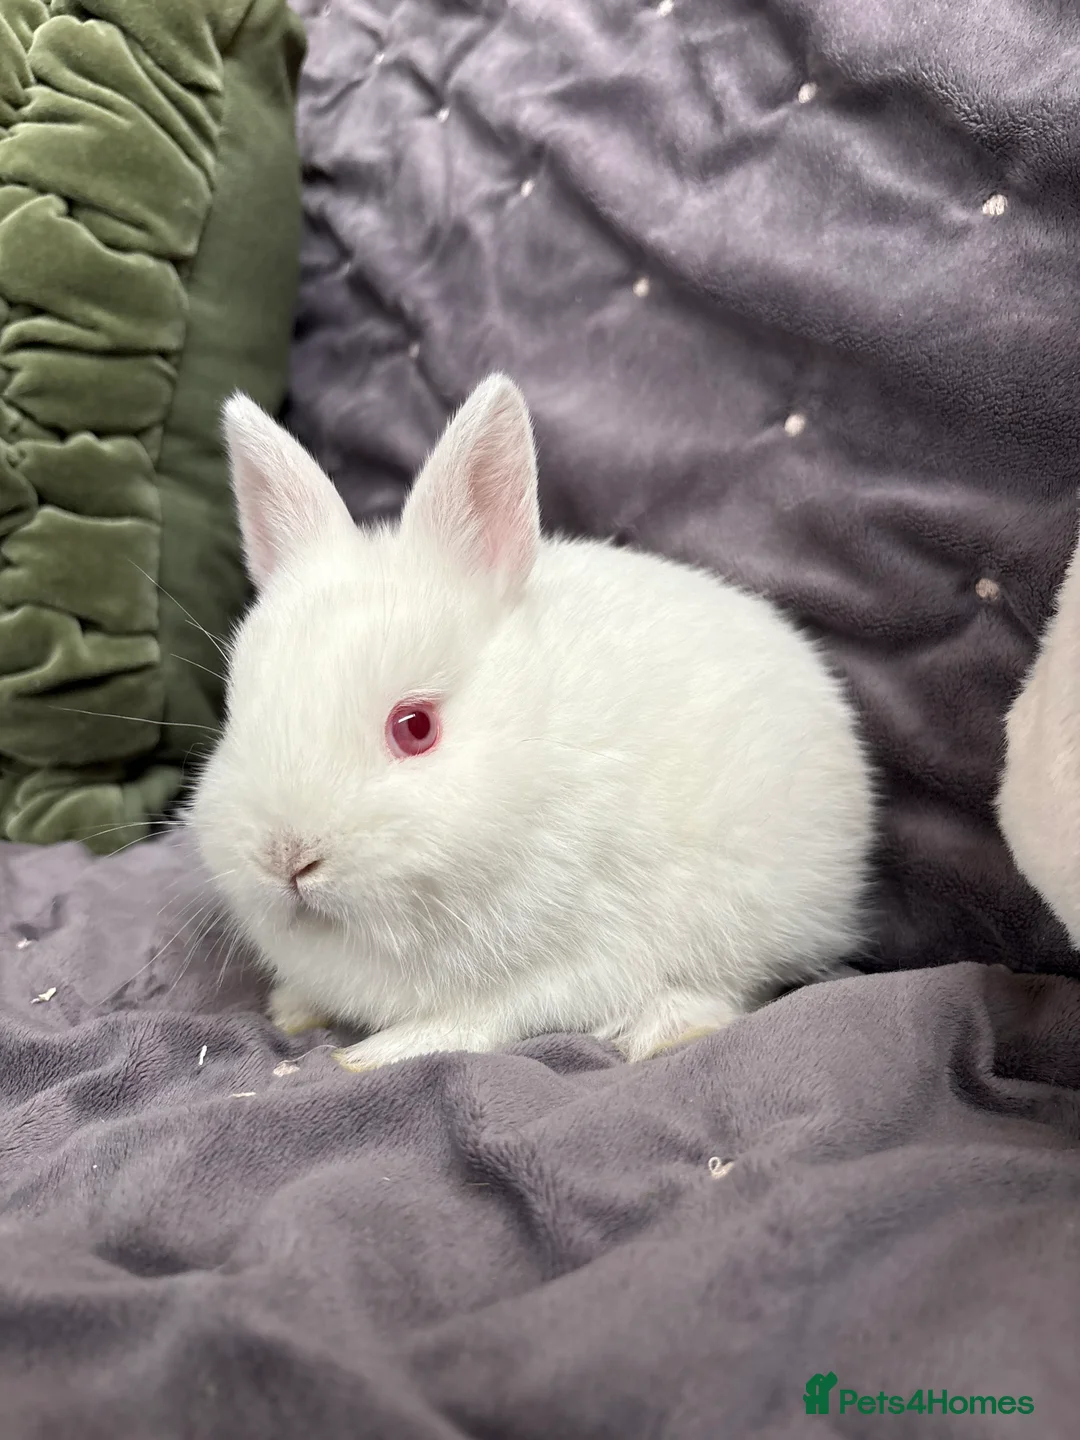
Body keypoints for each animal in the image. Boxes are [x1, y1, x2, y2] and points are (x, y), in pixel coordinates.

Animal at [190, 374, 875, 1071]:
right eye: (236, 713)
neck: (535, 754)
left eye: (415, 727)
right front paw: (292, 1010)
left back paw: (666, 1028)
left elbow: (477, 1021)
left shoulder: (571, 961)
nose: (286, 858)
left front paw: (368, 1056)